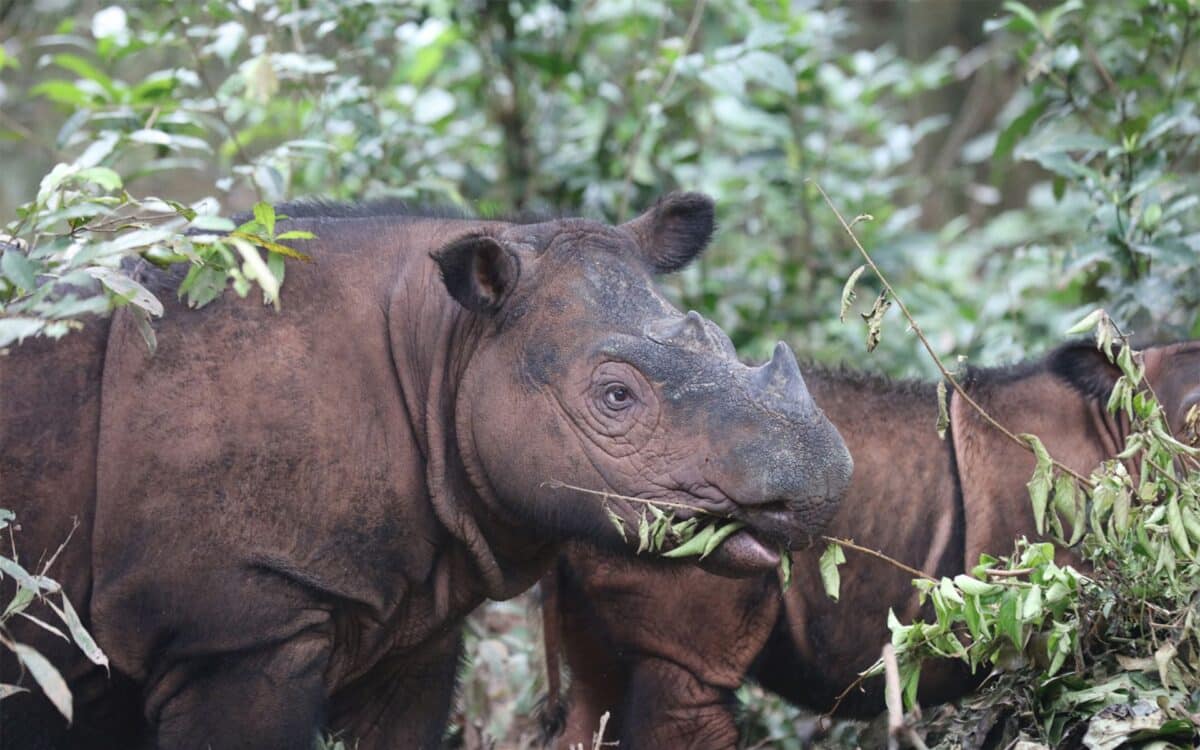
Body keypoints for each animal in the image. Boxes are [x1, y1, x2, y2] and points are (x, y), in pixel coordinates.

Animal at [0, 194, 853, 750]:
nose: (821, 480)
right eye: (616, 397)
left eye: (718, 338)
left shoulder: (410, 614)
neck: (444, 345)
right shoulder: (237, 625)